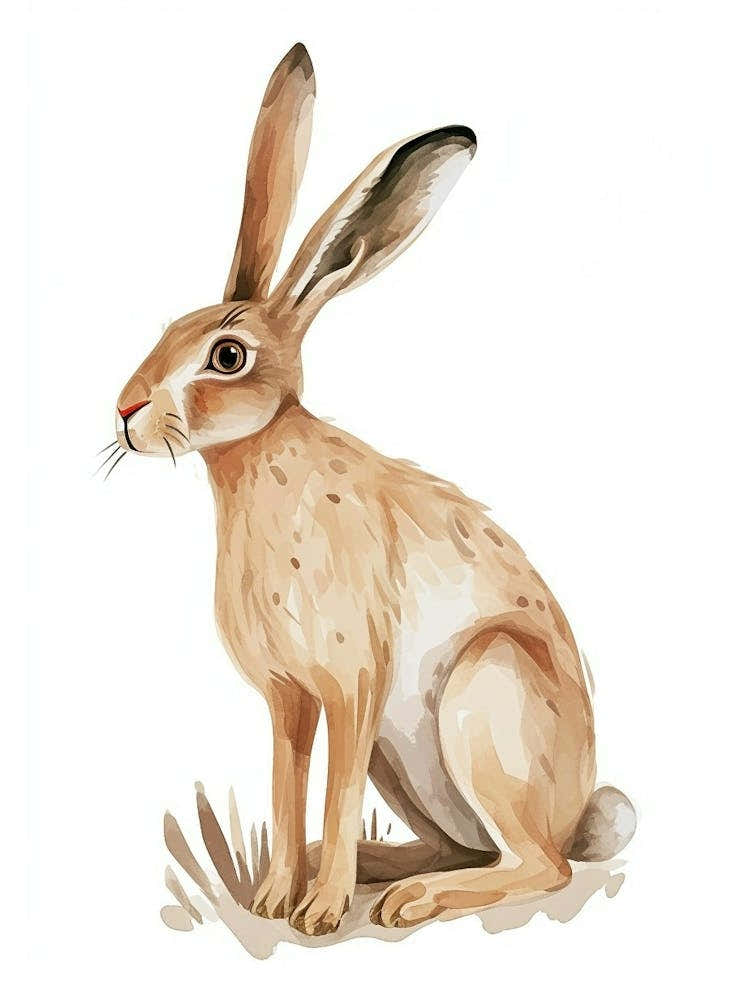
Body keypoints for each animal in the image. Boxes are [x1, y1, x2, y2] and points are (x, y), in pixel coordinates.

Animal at [113, 43, 636, 936]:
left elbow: (332, 784)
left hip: (481, 699)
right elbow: (288, 786)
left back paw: (406, 899)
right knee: (468, 847)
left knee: (541, 865)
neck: (259, 464)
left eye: (226, 357)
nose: (124, 413)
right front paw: (275, 897)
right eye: (167, 331)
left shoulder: (353, 680)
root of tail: (582, 813)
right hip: (418, 766)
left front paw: (317, 915)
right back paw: (376, 868)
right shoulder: (287, 696)